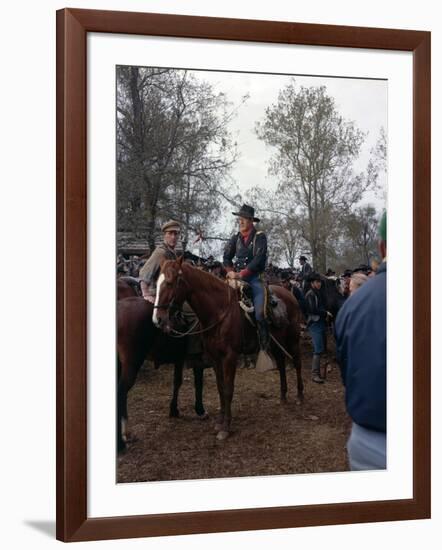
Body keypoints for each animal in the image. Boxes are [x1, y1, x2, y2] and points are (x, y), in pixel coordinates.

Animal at [117, 298, 207, 452]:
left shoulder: (179, 359)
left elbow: (177, 382)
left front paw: (174, 410)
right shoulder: (197, 359)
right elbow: (198, 382)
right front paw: (200, 409)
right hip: (131, 363)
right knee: (121, 393)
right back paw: (122, 442)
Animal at [153, 258, 304, 444]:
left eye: (170, 282)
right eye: (157, 283)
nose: (158, 319)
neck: (219, 312)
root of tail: (289, 294)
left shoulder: (230, 357)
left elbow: (228, 389)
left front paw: (226, 427)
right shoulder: (215, 358)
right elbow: (220, 388)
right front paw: (219, 421)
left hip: (293, 339)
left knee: (297, 362)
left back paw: (300, 396)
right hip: (276, 343)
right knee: (282, 364)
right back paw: (283, 397)